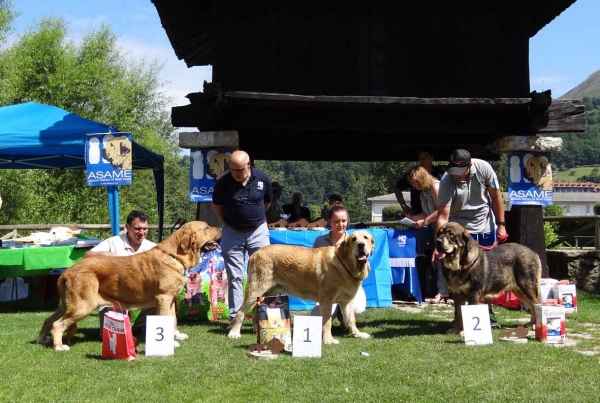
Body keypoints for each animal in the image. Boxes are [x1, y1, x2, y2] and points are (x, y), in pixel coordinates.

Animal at [37, 221, 221, 350]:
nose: (220, 228)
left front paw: (176, 335)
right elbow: (166, 318)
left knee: (49, 320)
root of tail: (66, 272)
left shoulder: (170, 299)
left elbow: (173, 319)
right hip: (82, 306)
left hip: (68, 304)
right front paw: (171, 342)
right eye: (206, 227)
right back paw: (59, 346)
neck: (174, 255)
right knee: (57, 324)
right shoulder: (163, 297)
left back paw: (42, 340)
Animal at [227, 230, 372, 344]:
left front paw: (358, 334)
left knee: (255, 309)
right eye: (353, 239)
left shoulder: (346, 301)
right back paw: (234, 332)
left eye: (365, 237)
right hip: (256, 288)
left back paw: (257, 329)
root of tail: (255, 254)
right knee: (241, 311)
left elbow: (351, 319)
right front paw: (328, 340)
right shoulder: (327, 300)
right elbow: (327, 322)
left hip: (269, 292)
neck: (346, 265)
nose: (361, 245)